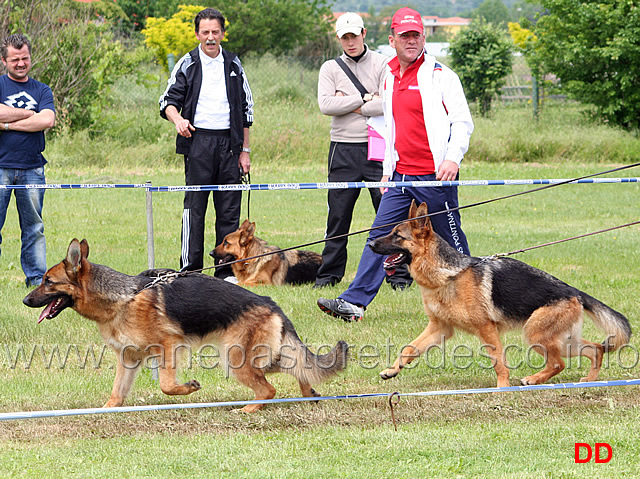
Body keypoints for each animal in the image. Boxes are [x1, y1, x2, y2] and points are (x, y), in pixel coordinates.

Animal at [22, 240, 348, 412]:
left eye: (48, 281)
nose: (25, 300)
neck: (123, 298)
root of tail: (273, 304)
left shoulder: (169, 346)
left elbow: (167, 385)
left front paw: (188, 388)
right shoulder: (128, 358)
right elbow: (117, 392)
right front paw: (105, 411)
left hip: (236, 360)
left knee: (269, 388)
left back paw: (250, 408)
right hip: (261, 357)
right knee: (299, 369)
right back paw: (308, 393)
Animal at [370, 202, 632, 386]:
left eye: (397, 235)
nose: (370, 243)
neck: (448, 274)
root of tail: (574, 292)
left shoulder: (486, 328)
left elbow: (498, 362)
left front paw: (502, 388)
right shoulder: (440, 328)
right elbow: (409, 348)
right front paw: (392, 370)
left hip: (535, 333)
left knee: (559, 363)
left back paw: (533, 379)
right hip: (561, 339)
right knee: (595, 349)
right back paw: (589, 380)